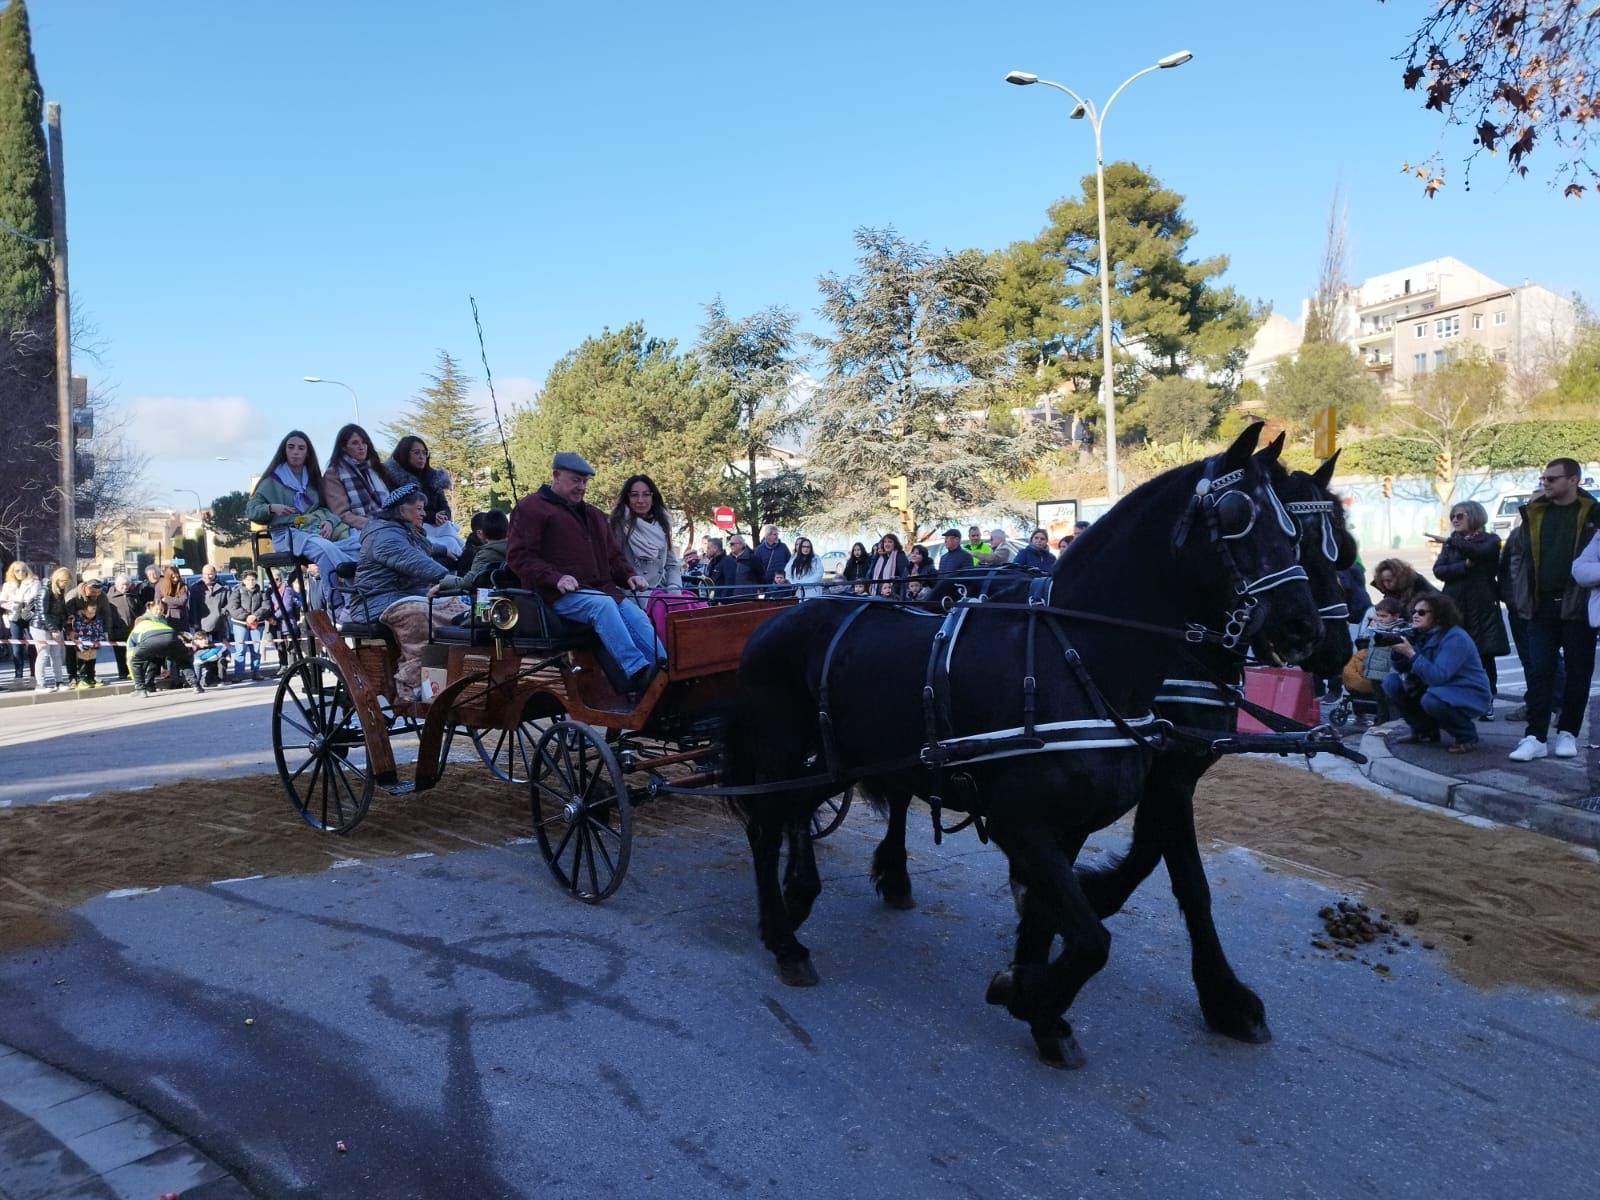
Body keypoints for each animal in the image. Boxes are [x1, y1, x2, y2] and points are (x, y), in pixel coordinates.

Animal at [726, 428, 1324, 1068]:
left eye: (1293, 528)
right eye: (1237, 517)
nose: (1304, 627)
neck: (1080, 660)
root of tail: (774, 622)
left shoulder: (1075, 824)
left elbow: (1057, 918)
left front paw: (1038, 1004)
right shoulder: (1023, 824)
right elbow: (1092, 939)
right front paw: (1027, 993)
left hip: (839, 760)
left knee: (796, 812)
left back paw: (801, 897)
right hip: (783, 753)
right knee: (765, 827)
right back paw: (784, 937)